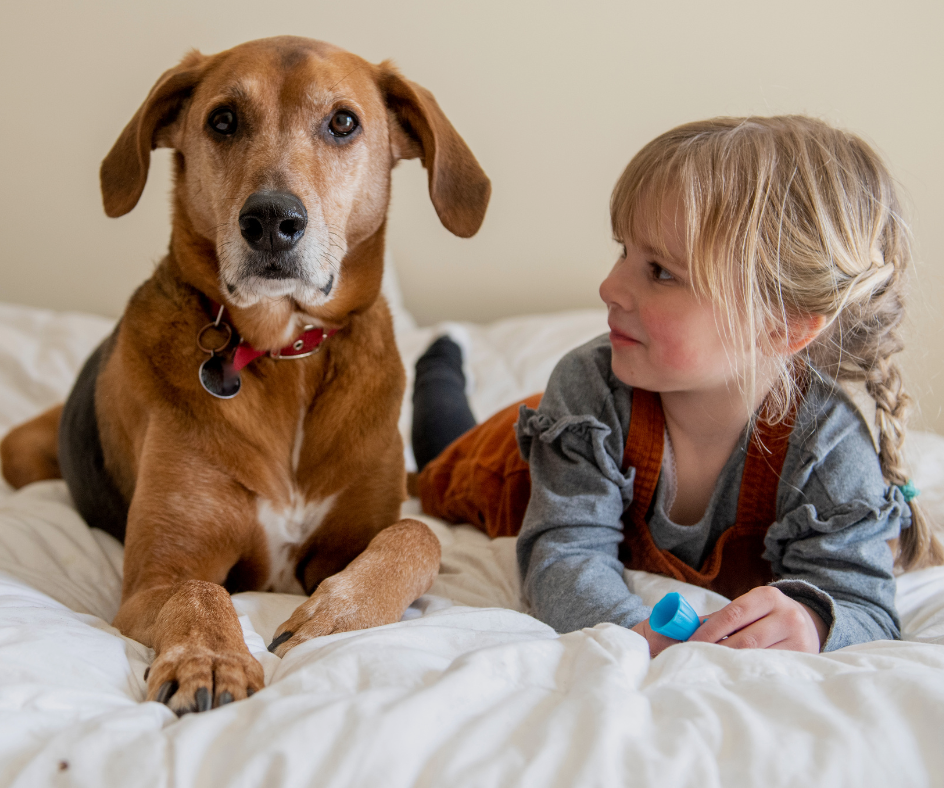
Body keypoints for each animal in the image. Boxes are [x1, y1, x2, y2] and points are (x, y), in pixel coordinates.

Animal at [0, 35, 486, 716]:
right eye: (223, 120)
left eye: (343, 123)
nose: (271, 221)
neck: (286, 354)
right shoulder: (155, 577)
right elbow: (199, 590)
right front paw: (209, 657)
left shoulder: (352, 540)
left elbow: (417, 535)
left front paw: (340, 613)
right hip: (20, 452)